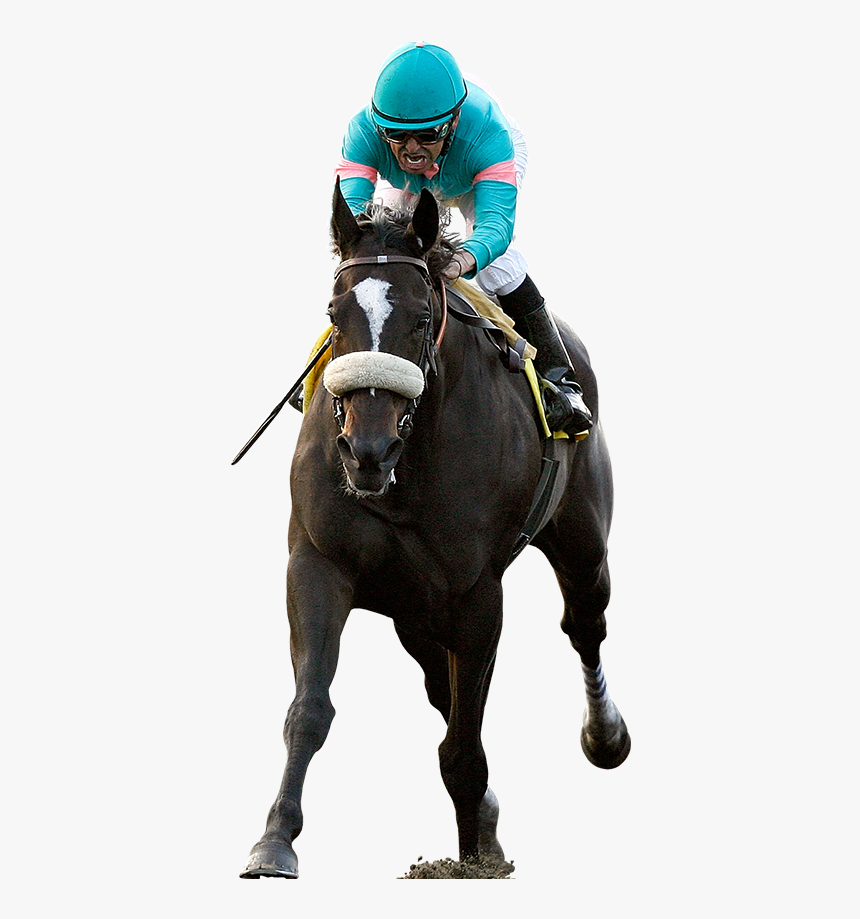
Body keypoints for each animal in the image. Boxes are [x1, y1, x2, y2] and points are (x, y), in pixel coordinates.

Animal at [240, 181, 630, 879]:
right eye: (336, 313)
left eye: (422, 318)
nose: (366, 450)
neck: (403, 474)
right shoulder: (317, 563)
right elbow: (309, 710)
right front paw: (274, 841)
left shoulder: (476, 594)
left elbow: (463, 741)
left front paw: (474, 856)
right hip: (412, 611)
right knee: (436, 685)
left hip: (581, 539)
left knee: (584, 624)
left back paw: (605, 737)